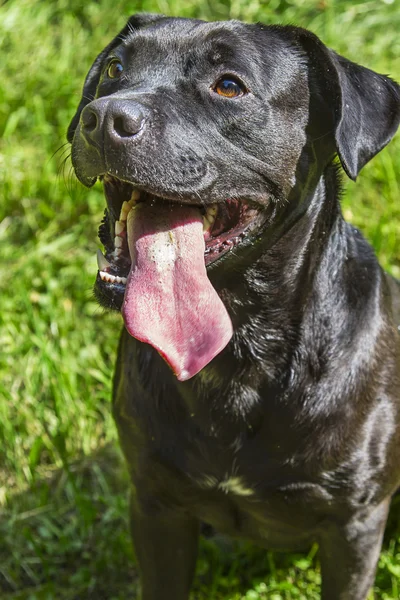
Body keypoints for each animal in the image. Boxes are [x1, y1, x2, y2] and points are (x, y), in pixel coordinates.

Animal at [69, 14, 400, 600]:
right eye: (114, 69)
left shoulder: (354, 525)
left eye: (228, 86)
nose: (103, 116)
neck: (241, 350)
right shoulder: (156, 503)